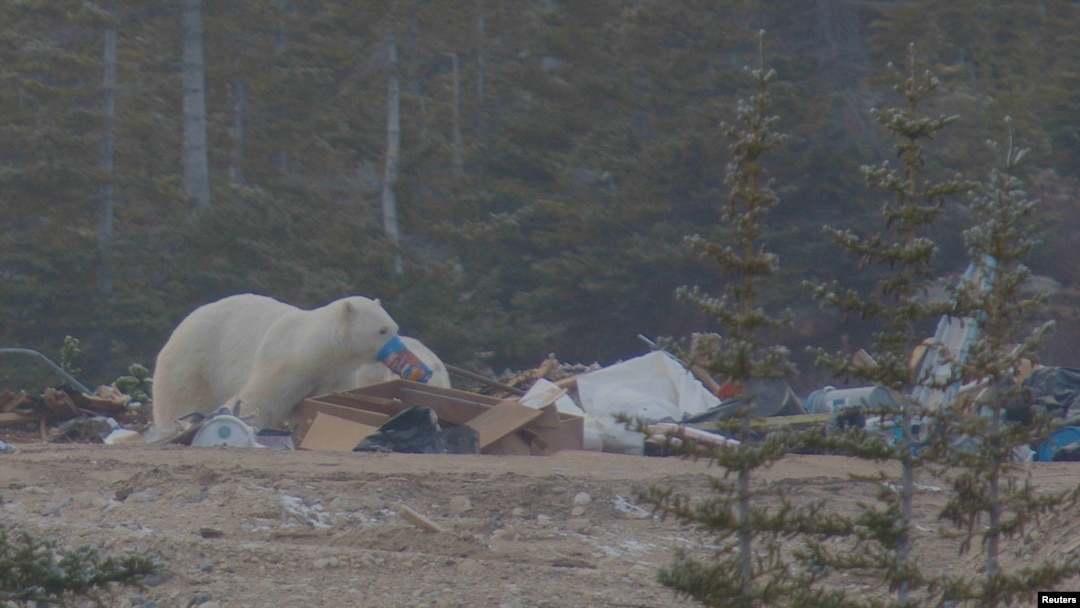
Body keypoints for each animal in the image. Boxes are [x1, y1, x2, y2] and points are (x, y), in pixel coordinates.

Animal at [152, 293, 425, 427]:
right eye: (382, 330)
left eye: (394, 327)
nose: (401, 351)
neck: (316, 351)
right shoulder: (283, 362)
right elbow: (259, 399)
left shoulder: (336, 376)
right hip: (194, 363)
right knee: (182, 400)